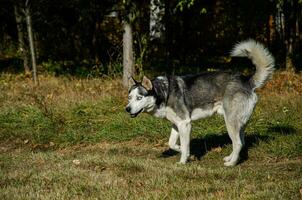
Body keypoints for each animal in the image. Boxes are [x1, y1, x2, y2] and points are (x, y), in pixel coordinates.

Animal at [124, 39, 274, 166]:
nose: (127, 109)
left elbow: (185, 146)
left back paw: (231, 164)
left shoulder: (185, 124)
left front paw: (183, 162)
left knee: (237, 143)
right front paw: (187, 154)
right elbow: (172, 144)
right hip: (239, 124)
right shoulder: (176, 124)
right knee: (241, 142)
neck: (164, 93)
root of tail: (247, 81)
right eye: (129, 97)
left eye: (139, 98)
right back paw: (231, 158)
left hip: (230, 122)